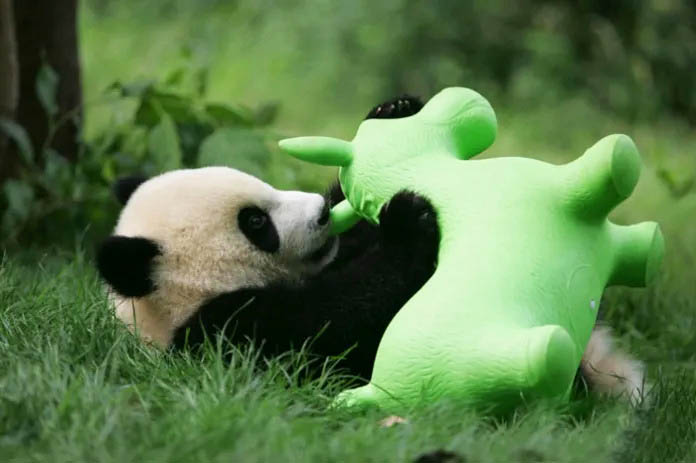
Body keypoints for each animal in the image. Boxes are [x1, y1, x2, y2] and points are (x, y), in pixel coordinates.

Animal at [95, 96, 644, 400]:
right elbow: (332, 327)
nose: (320, 212)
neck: (168, 310)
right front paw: (408, 218)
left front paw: (394, 112)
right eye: (255, 223)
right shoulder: (226, 335)